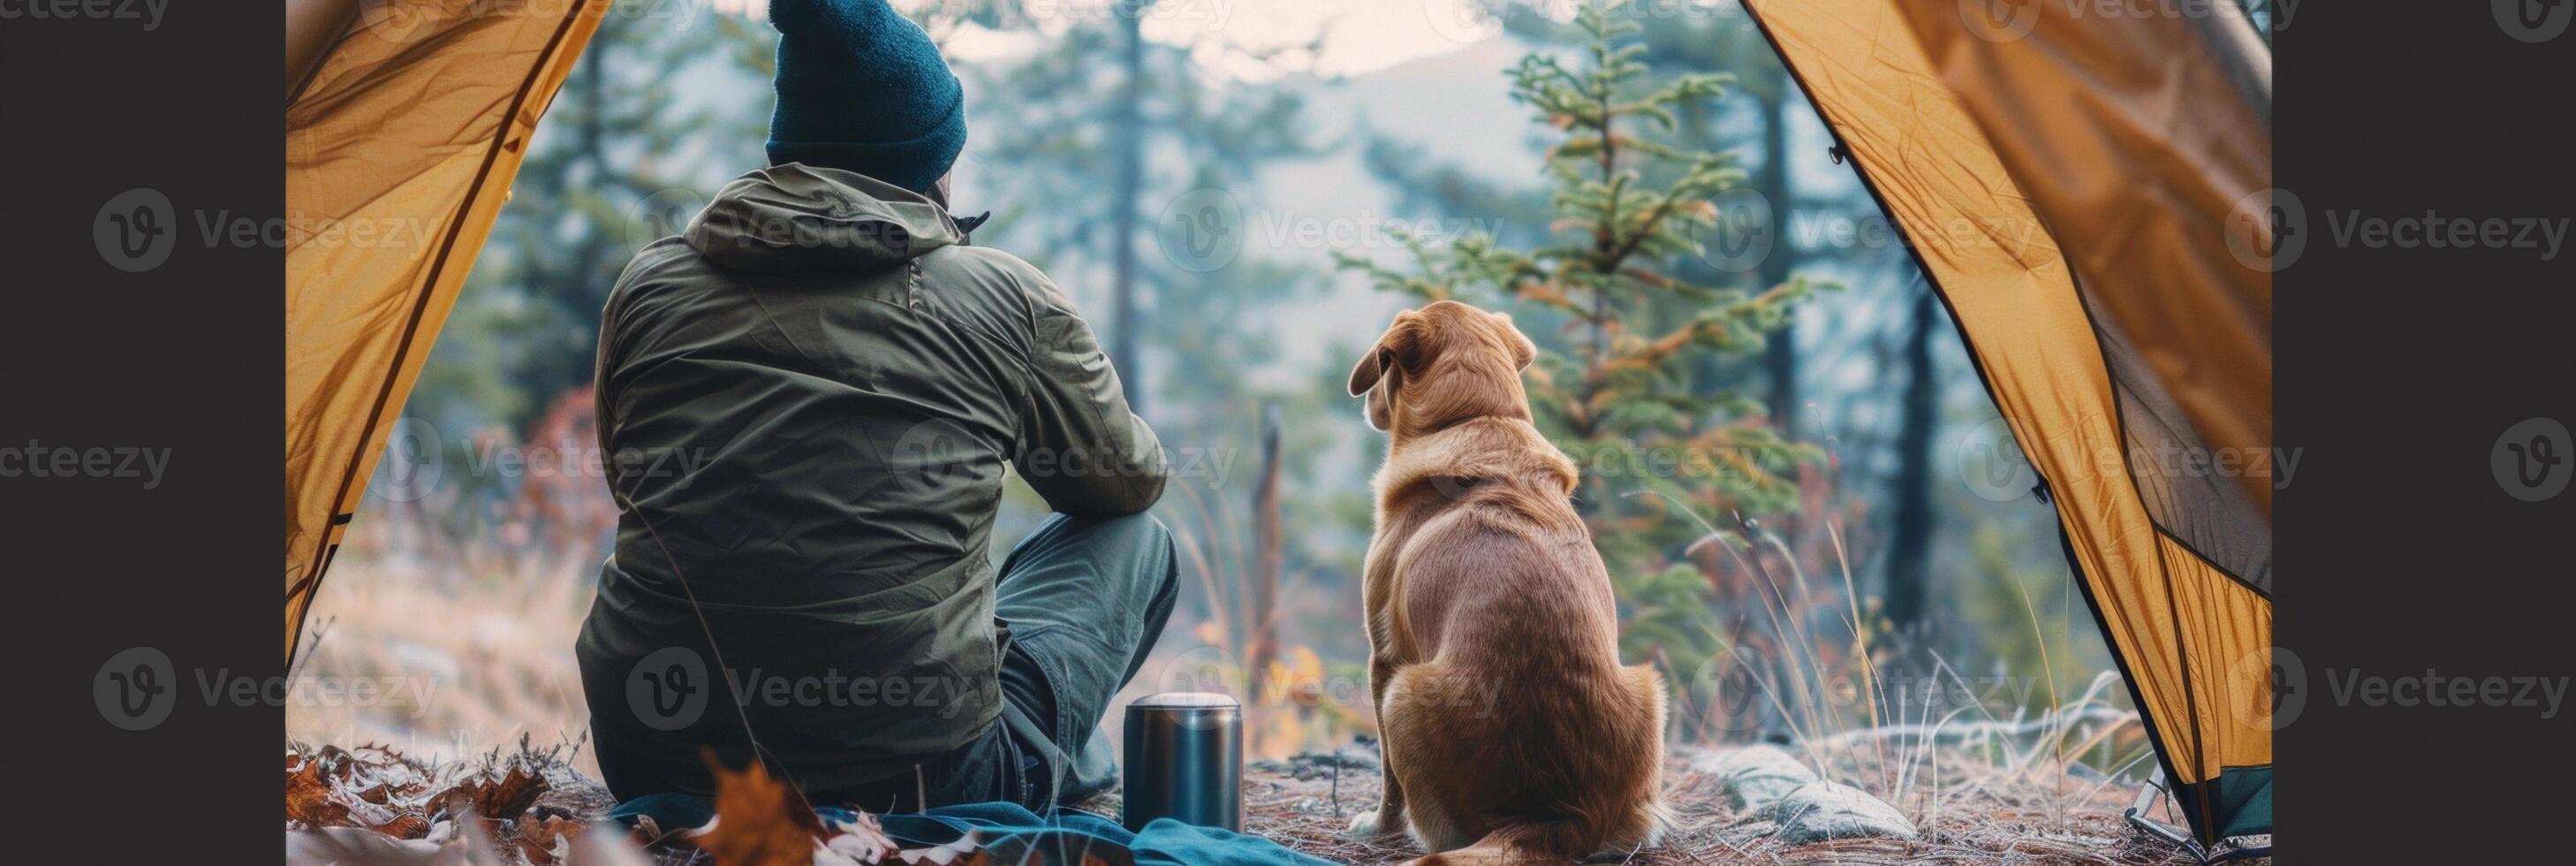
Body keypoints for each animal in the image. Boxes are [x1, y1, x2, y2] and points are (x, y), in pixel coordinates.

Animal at [1339, 301, 1679, 861]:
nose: (1368, 403)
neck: (1478, 417)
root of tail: (1552, 820)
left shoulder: (1383, 656)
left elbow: (1387, 778)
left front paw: (1378, 825)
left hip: (1403, 693)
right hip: (1649, 690)